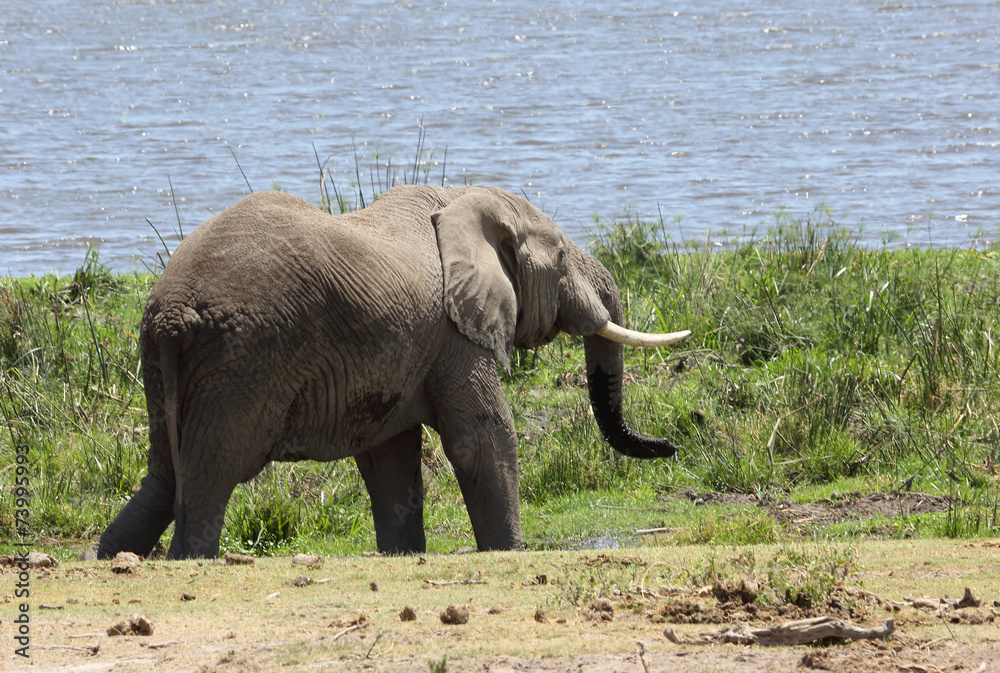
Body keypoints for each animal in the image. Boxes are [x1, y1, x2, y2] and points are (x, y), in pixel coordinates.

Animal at [96, 184, 689, 559]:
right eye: (563, 256)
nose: (671, 447)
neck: (461, 200)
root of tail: (173, 313)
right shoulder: (454, 335)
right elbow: (480, 437)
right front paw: (509, 553)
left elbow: (390, 459)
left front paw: (403, 555)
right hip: (241, 365)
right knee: (209, 476)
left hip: (169, 368)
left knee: (164, 476)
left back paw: (112, 557)